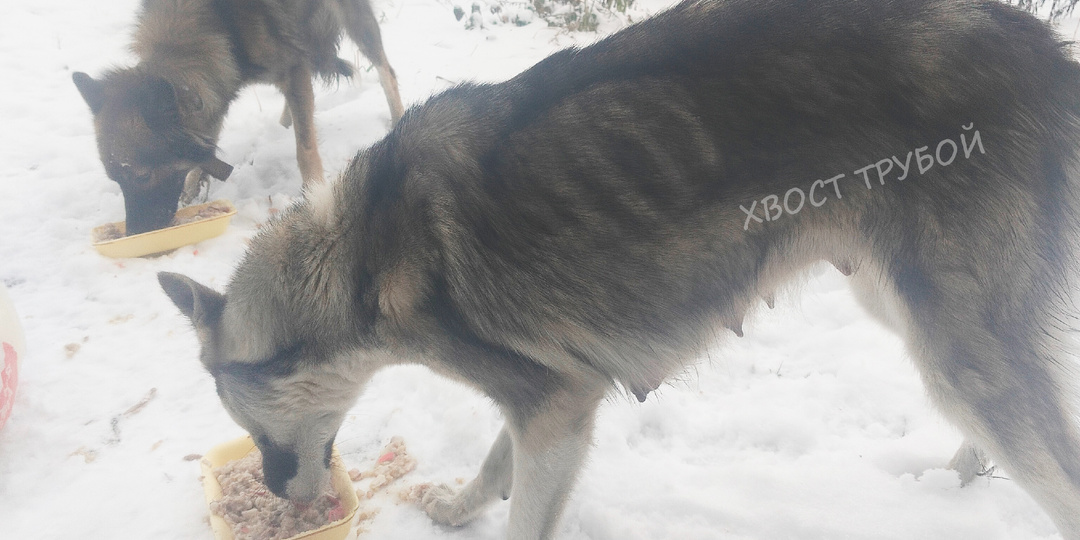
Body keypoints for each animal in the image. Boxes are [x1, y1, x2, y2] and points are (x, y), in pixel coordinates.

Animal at [72, 0, 406, 236]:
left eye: (141, 176)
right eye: (116, 179)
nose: (135, 232)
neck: (216, 25)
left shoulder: (293, 67)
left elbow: (306, 149)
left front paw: (313, 195)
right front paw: (191, 193)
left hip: (354, 19)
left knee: (387, 72)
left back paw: (399, 119)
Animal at [156, 1, 1080, 535]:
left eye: (251, 428)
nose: (277, 490)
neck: (360, 256)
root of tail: (1043, 47)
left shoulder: (558, 410)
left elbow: (523, 507)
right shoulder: (551, 391)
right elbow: (496, 459)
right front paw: (460, 507)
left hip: (954, 348)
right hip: (899, 304)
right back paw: (956, 481)